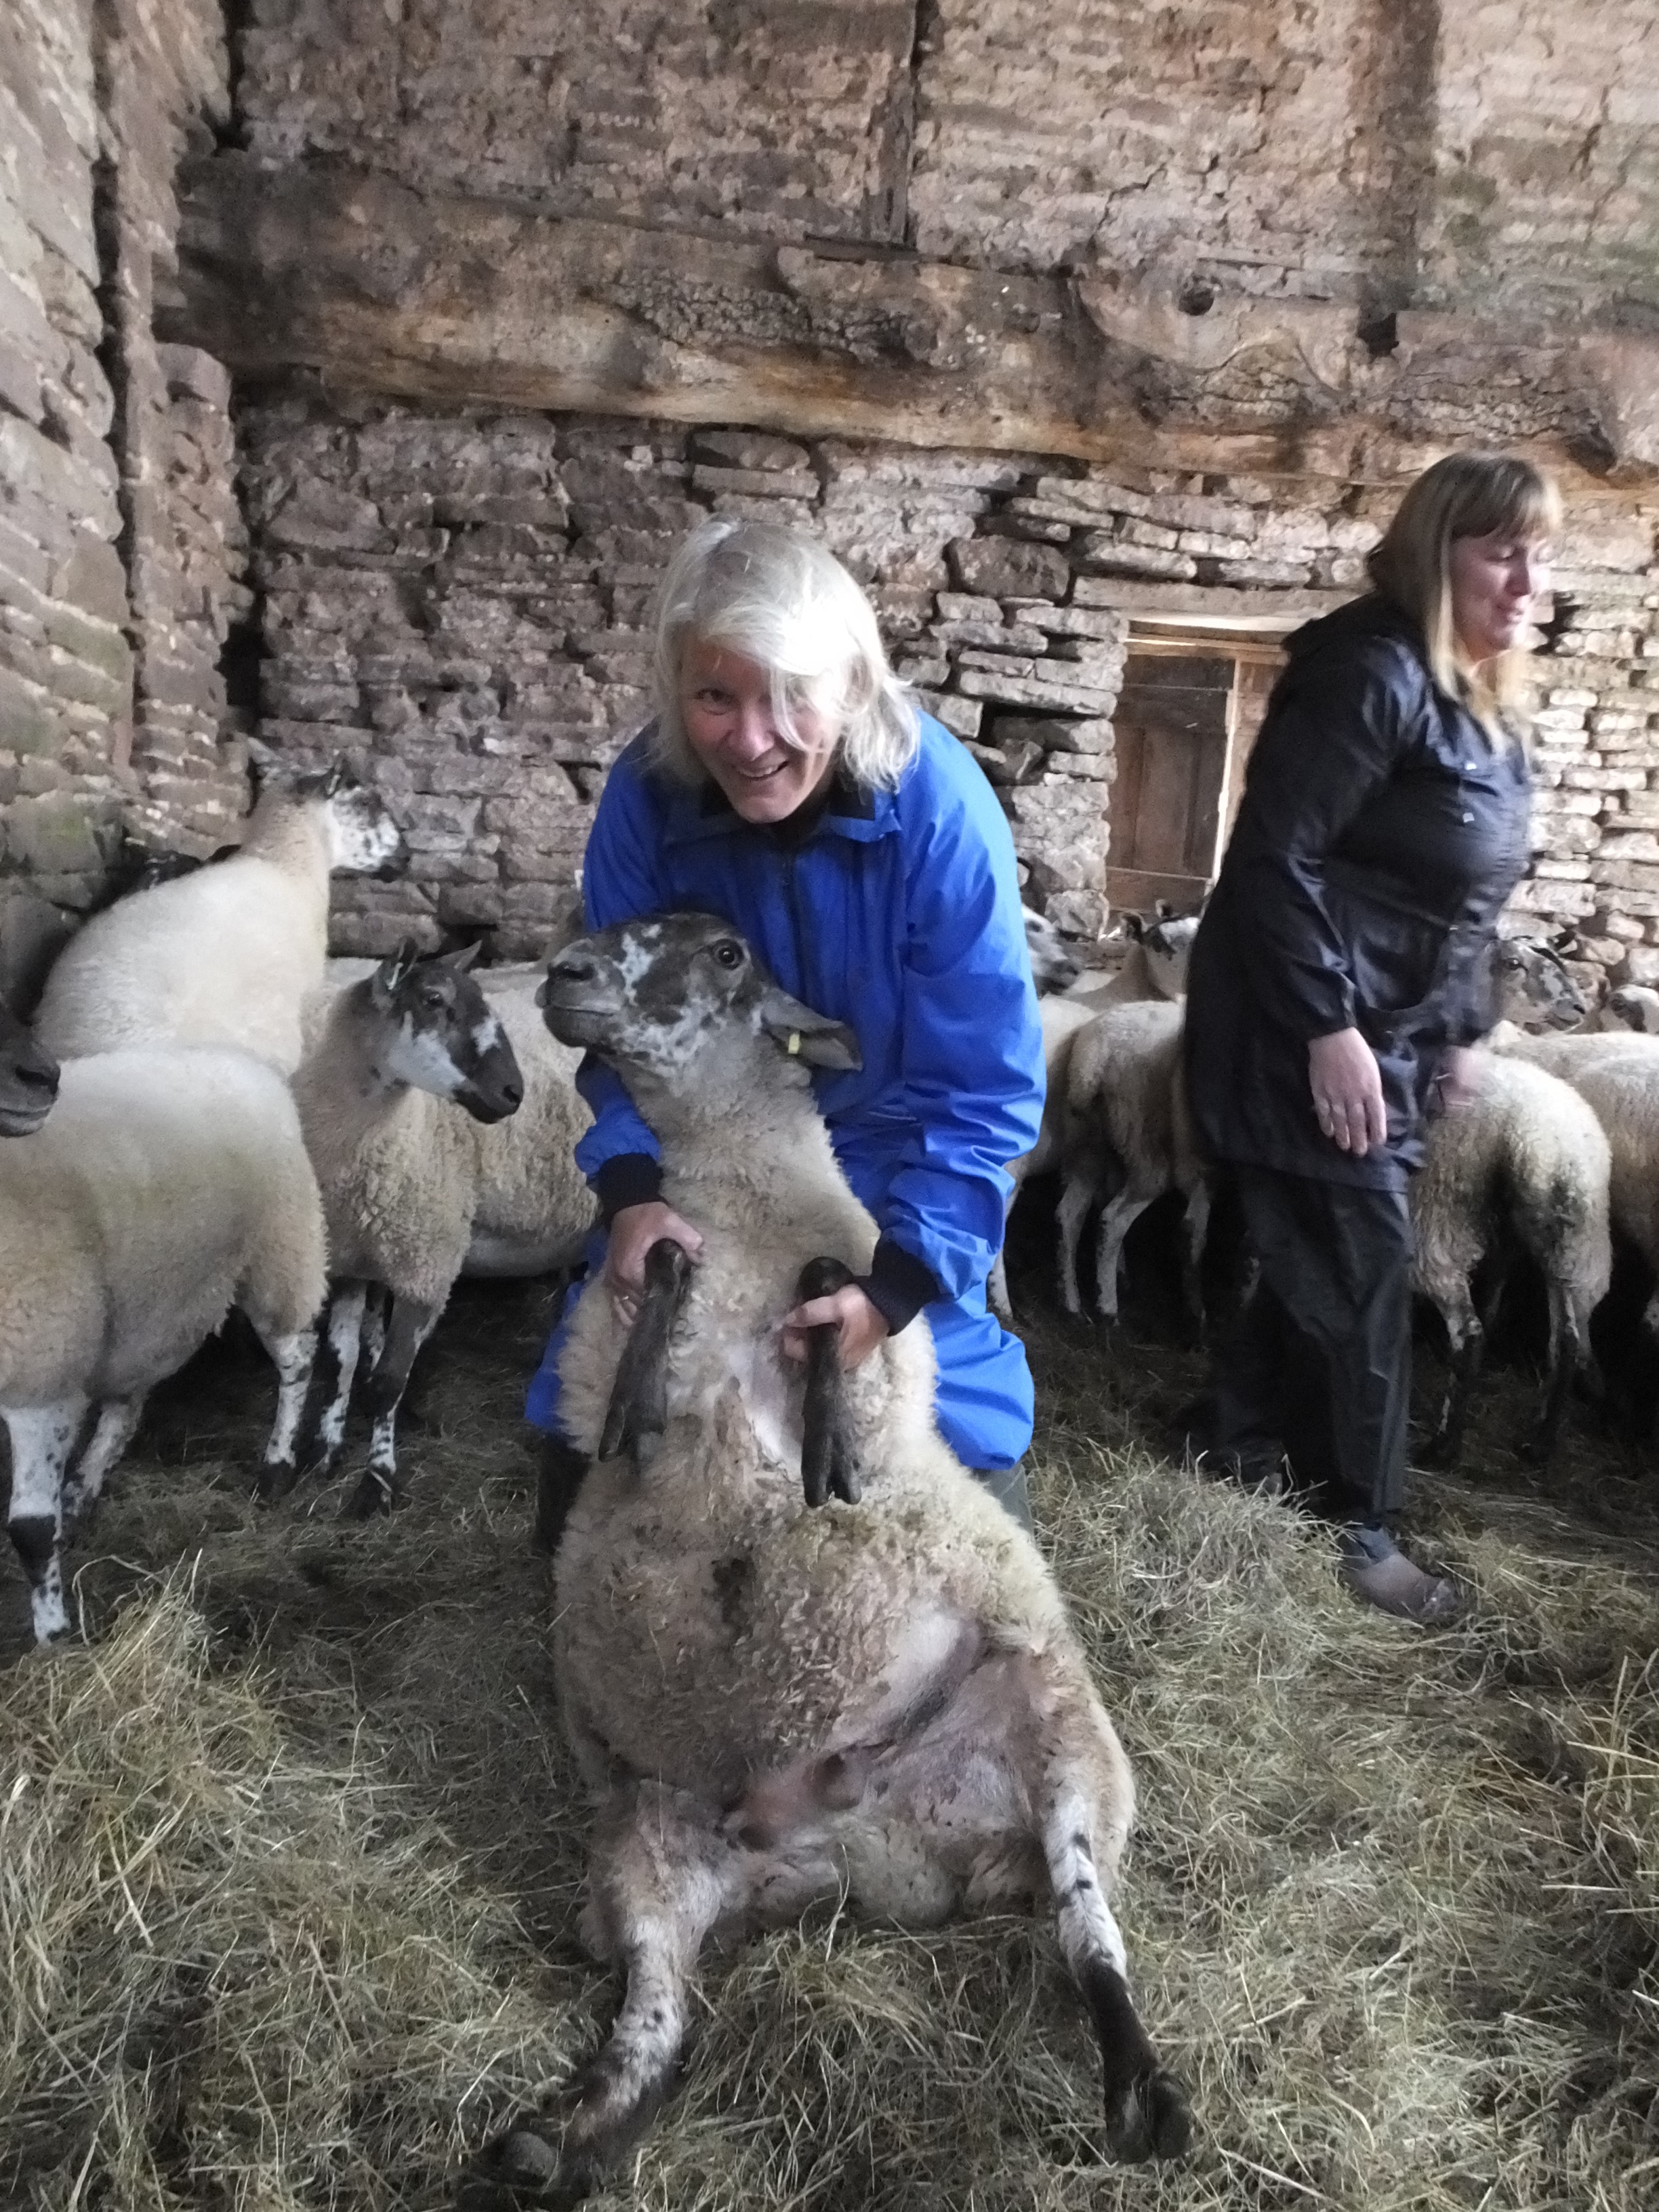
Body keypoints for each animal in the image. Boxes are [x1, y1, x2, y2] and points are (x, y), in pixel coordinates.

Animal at [1, 1046, 326, 1642]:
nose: (41, 1079)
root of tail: (240, 1061)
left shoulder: (45, 1377)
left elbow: (31, 1530)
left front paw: (55, 1637)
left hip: (281, 1248)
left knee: (298, 1357)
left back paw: (277, 1466)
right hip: (139, 1311)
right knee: (125, 1407)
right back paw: (82, 1491)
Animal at [287, 946, 594, 1514]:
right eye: (433, 1000)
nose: (513, 1093)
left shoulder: (427, 1262)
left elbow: (388, 1382)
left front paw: (377, 1479)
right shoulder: (352, 1259)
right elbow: (339, 1364)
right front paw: (325, 1451)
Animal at [468, 911, 1191, 2199]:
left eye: (725, 954)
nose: (566, 974)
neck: (740, 1195)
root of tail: (856, 1848)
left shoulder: (885, 1365)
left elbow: (834, 1296)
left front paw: (818, 1451)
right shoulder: (609, 1341)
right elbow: (653, 1283)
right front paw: (655, 1384)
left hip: (1064, 1736)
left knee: (1086, 1929)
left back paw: (1140, 2089)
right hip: (648, 1839)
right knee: (657, 2021)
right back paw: (555, 2140)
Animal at [1411, 1055, 1611, 1468]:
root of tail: (1544, 1142)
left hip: (1437, 1217)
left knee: (1469, 1333)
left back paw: (1442, 1448)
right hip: (1571, 1242)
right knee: (1567, 1339)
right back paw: (1541, 1442)